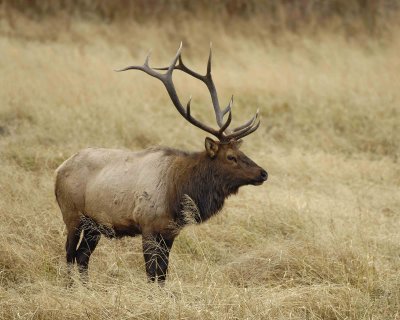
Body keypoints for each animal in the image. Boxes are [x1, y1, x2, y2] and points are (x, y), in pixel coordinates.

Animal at [54, 42, 268, 282]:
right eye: (231, 157)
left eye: (242, 151)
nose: (263, 173)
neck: (179, 190)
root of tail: (58, 170)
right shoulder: (148, 225)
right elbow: (152, 273)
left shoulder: (170, 231)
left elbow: (163, 273)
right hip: (72, 214)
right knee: (70, 255)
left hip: (95, 225)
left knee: (83, 256)